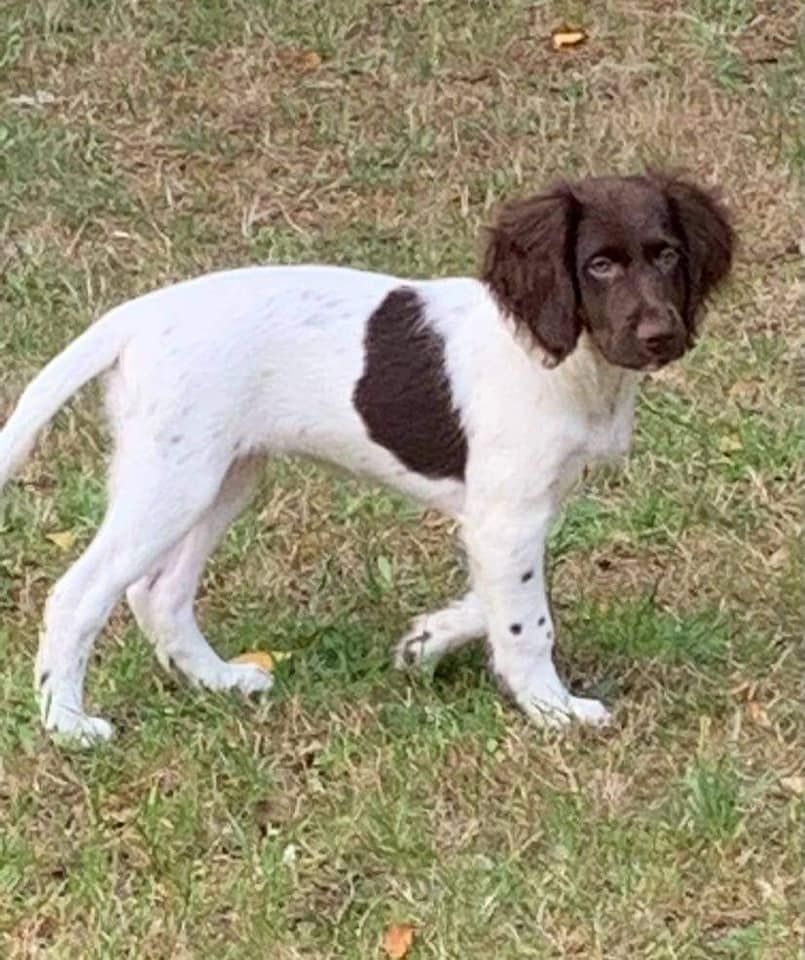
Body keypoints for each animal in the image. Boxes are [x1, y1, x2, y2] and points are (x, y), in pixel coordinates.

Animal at [0, 171, 732, 744]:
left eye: (667, 255)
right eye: (599, 265)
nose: (660, 335)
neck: (569, 361)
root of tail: (138, 315)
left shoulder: (514, 514)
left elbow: (495, 597)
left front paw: (427, 640)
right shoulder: (508, 514)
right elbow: (528, 621)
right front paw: (552, 709)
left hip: (225, 476)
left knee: (159, 592)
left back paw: (220, 681)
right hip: (173, 481)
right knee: (78, 595)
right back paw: (68, 725)